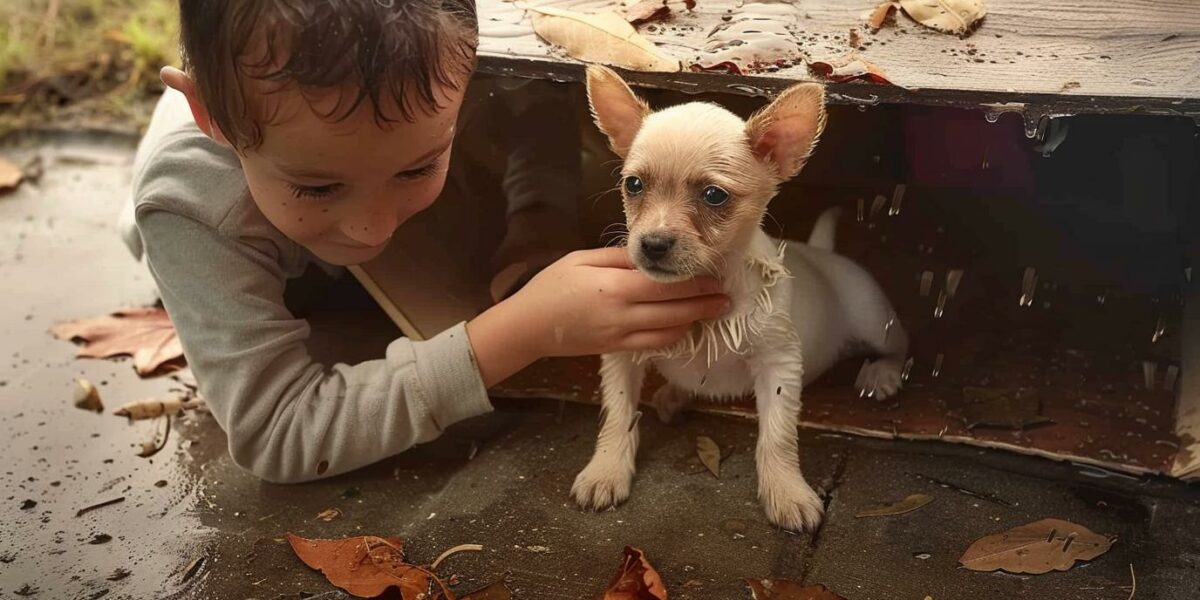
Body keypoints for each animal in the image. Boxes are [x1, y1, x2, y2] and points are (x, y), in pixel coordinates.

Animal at [573, 65, 907, 532]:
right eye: (633, 185)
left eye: (714, 195)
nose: (652, 244)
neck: (709, 284)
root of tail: (822, 252)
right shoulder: (622, 355)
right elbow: (618, 416)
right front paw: (605, 471)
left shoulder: (778, 365)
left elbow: (778, 437)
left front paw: (786, 492)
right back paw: (674, 395)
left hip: (876, 320)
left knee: (899, 349)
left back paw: (882, 375)